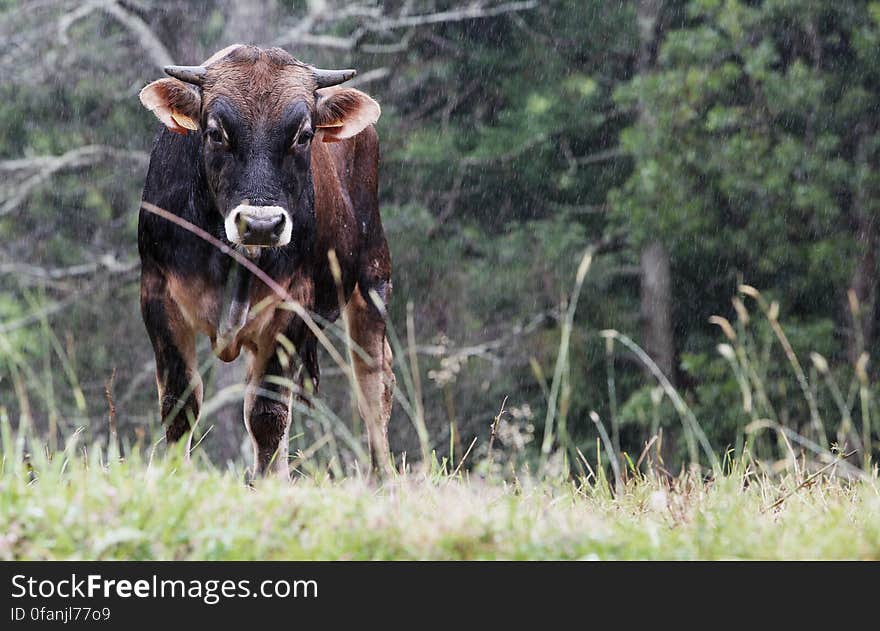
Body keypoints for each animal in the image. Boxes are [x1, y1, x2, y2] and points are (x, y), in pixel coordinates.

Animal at [137, 45, 392, 478]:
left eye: (303, 135)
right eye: (216, 132)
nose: (261, 224)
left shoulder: (293, 307)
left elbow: (267, 414)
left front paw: (269, 482)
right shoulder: (157, 295)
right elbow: (179, 403)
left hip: (373, 278)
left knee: (374, 386)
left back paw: (382, 478)